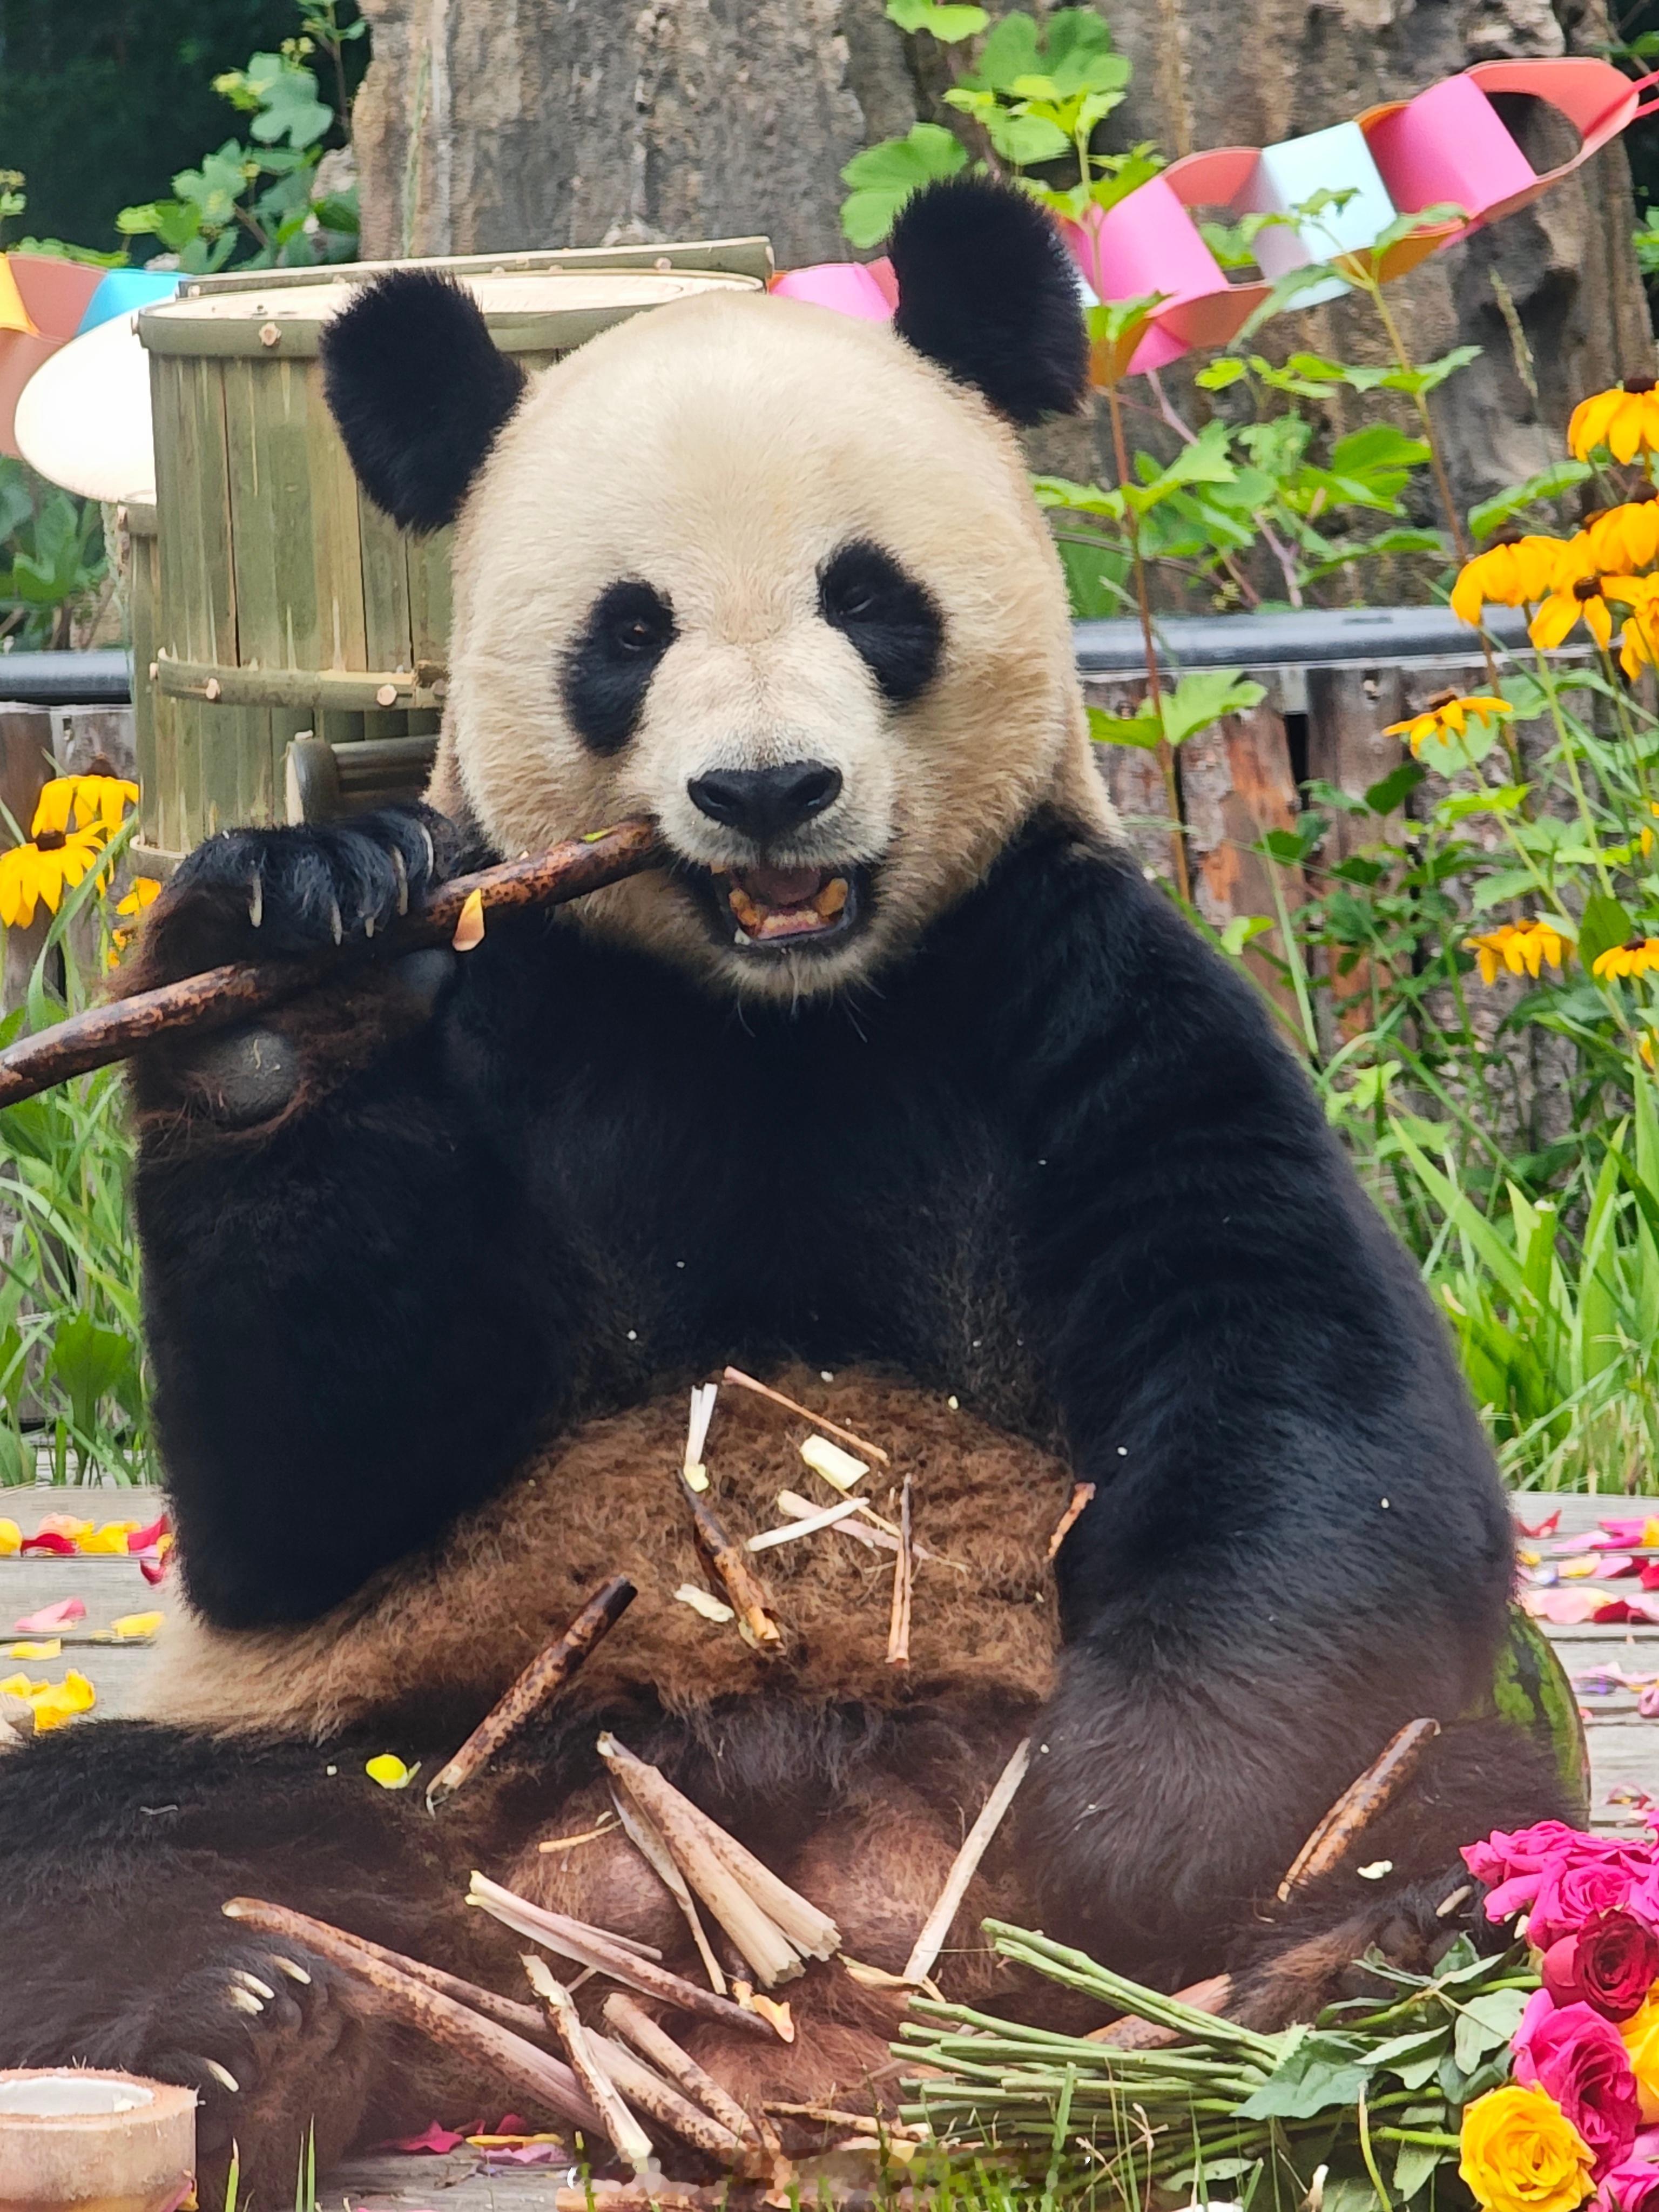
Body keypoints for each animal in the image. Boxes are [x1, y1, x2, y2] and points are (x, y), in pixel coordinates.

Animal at [0, 177, 1564, 2195]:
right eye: (628, 630)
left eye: (869, 598)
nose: (765, 792)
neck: (779, 1009)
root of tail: (783, 1950)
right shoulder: (525, 999)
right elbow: (314, 1490)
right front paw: (290, 970)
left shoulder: (1072, 985)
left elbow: (1302, 1391)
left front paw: (1128, 1830)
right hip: (416, 1749)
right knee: (107, 1837)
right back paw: (247, 2025)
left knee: (1466, 1789)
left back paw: (1342, 1961)